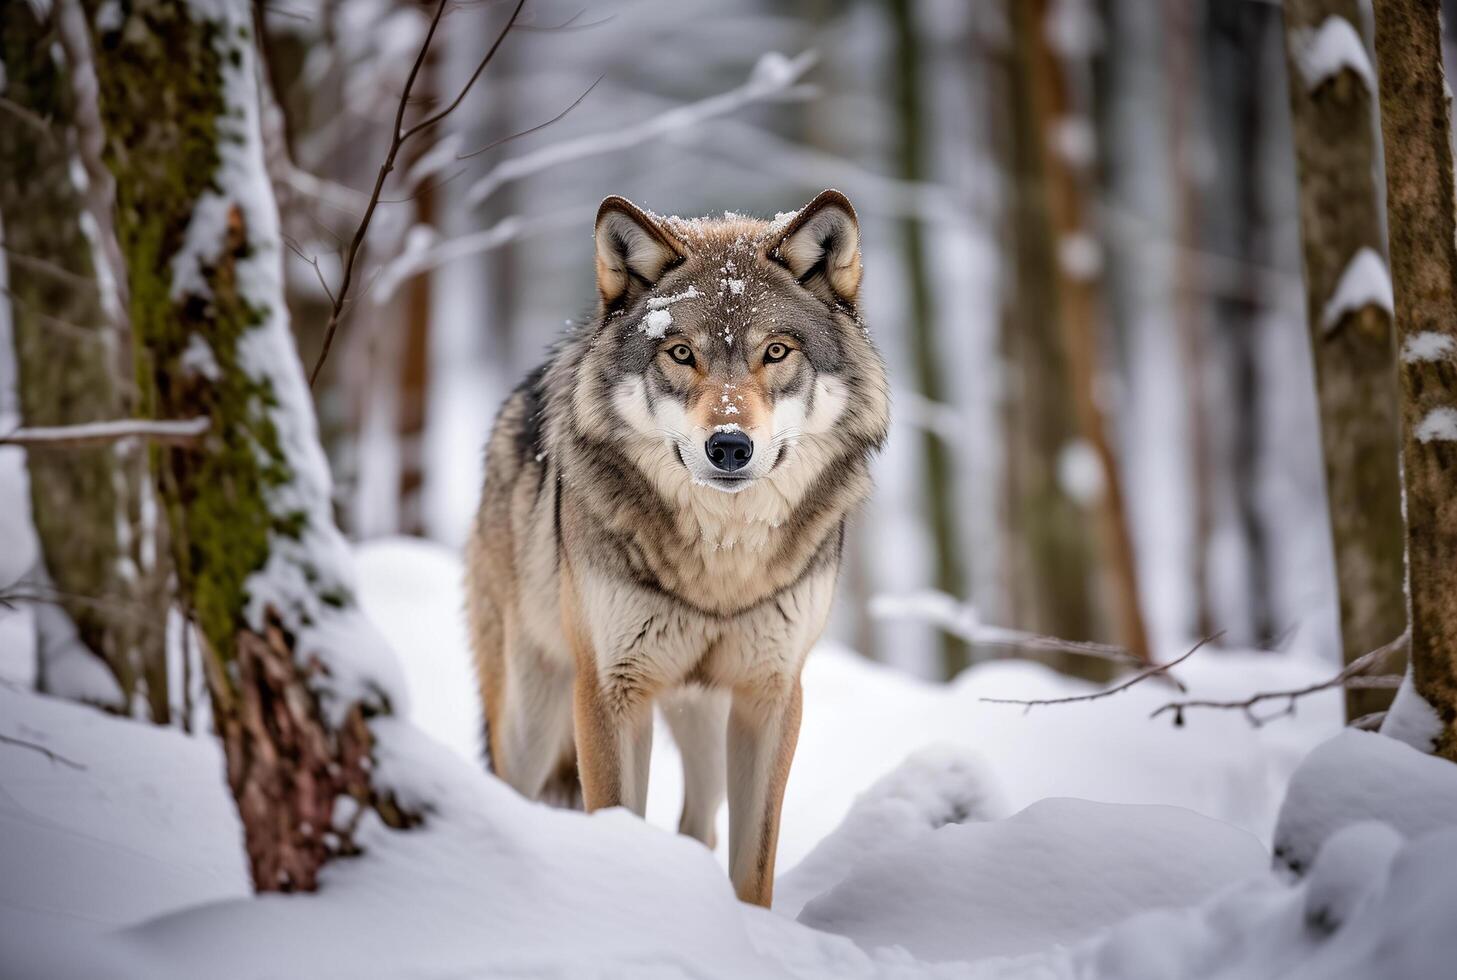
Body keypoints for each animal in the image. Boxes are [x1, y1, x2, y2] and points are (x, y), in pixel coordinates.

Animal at [466, 187, 885, 908]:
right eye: (681, 353)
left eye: (776, 352)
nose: (729, 446)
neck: (720, 567)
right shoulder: (608, 691)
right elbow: (616, 826)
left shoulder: (771, 695)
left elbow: (753, 866)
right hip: (531, 717)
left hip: (704, 718)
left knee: (699, 826)